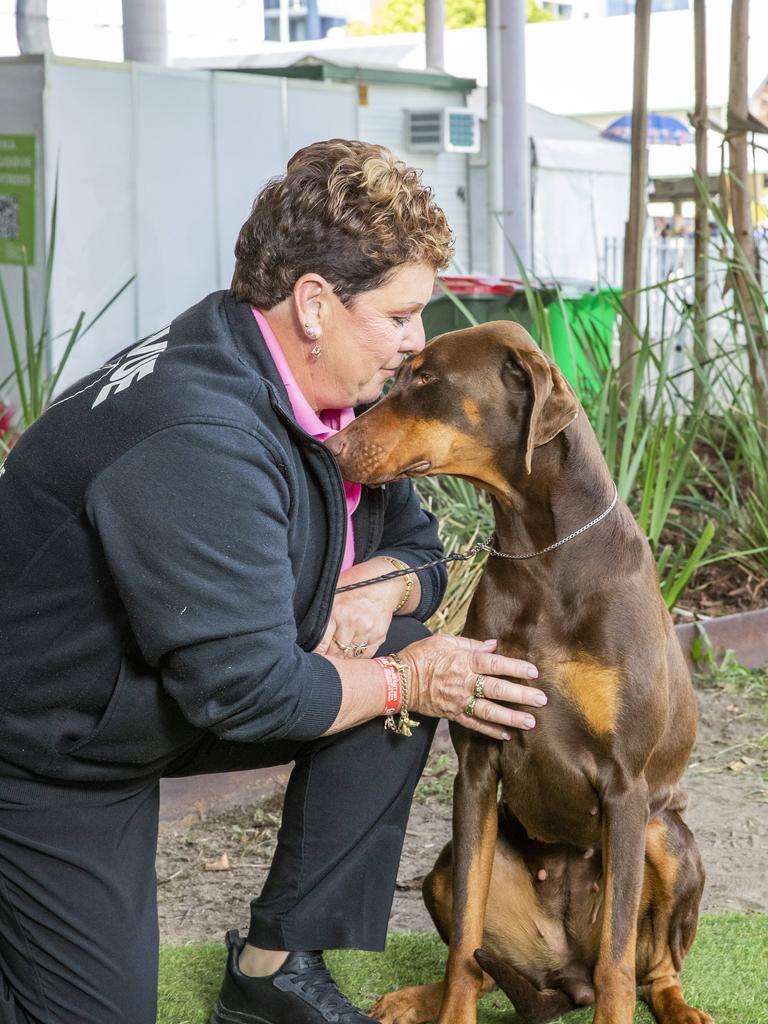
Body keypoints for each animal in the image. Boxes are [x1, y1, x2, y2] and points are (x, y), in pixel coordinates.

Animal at [327, 323, 712, 1024]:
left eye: (426, 379)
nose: (332, 446)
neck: (544, 556)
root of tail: (566, 974)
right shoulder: (479, 766)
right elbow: (464, 947)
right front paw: (449, 1009)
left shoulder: (625, 785)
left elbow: (619, 965)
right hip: (448, 866)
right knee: (482, 960)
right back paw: (416, 998)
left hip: (666, 837)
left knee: (650, 969)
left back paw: (678, 1005)